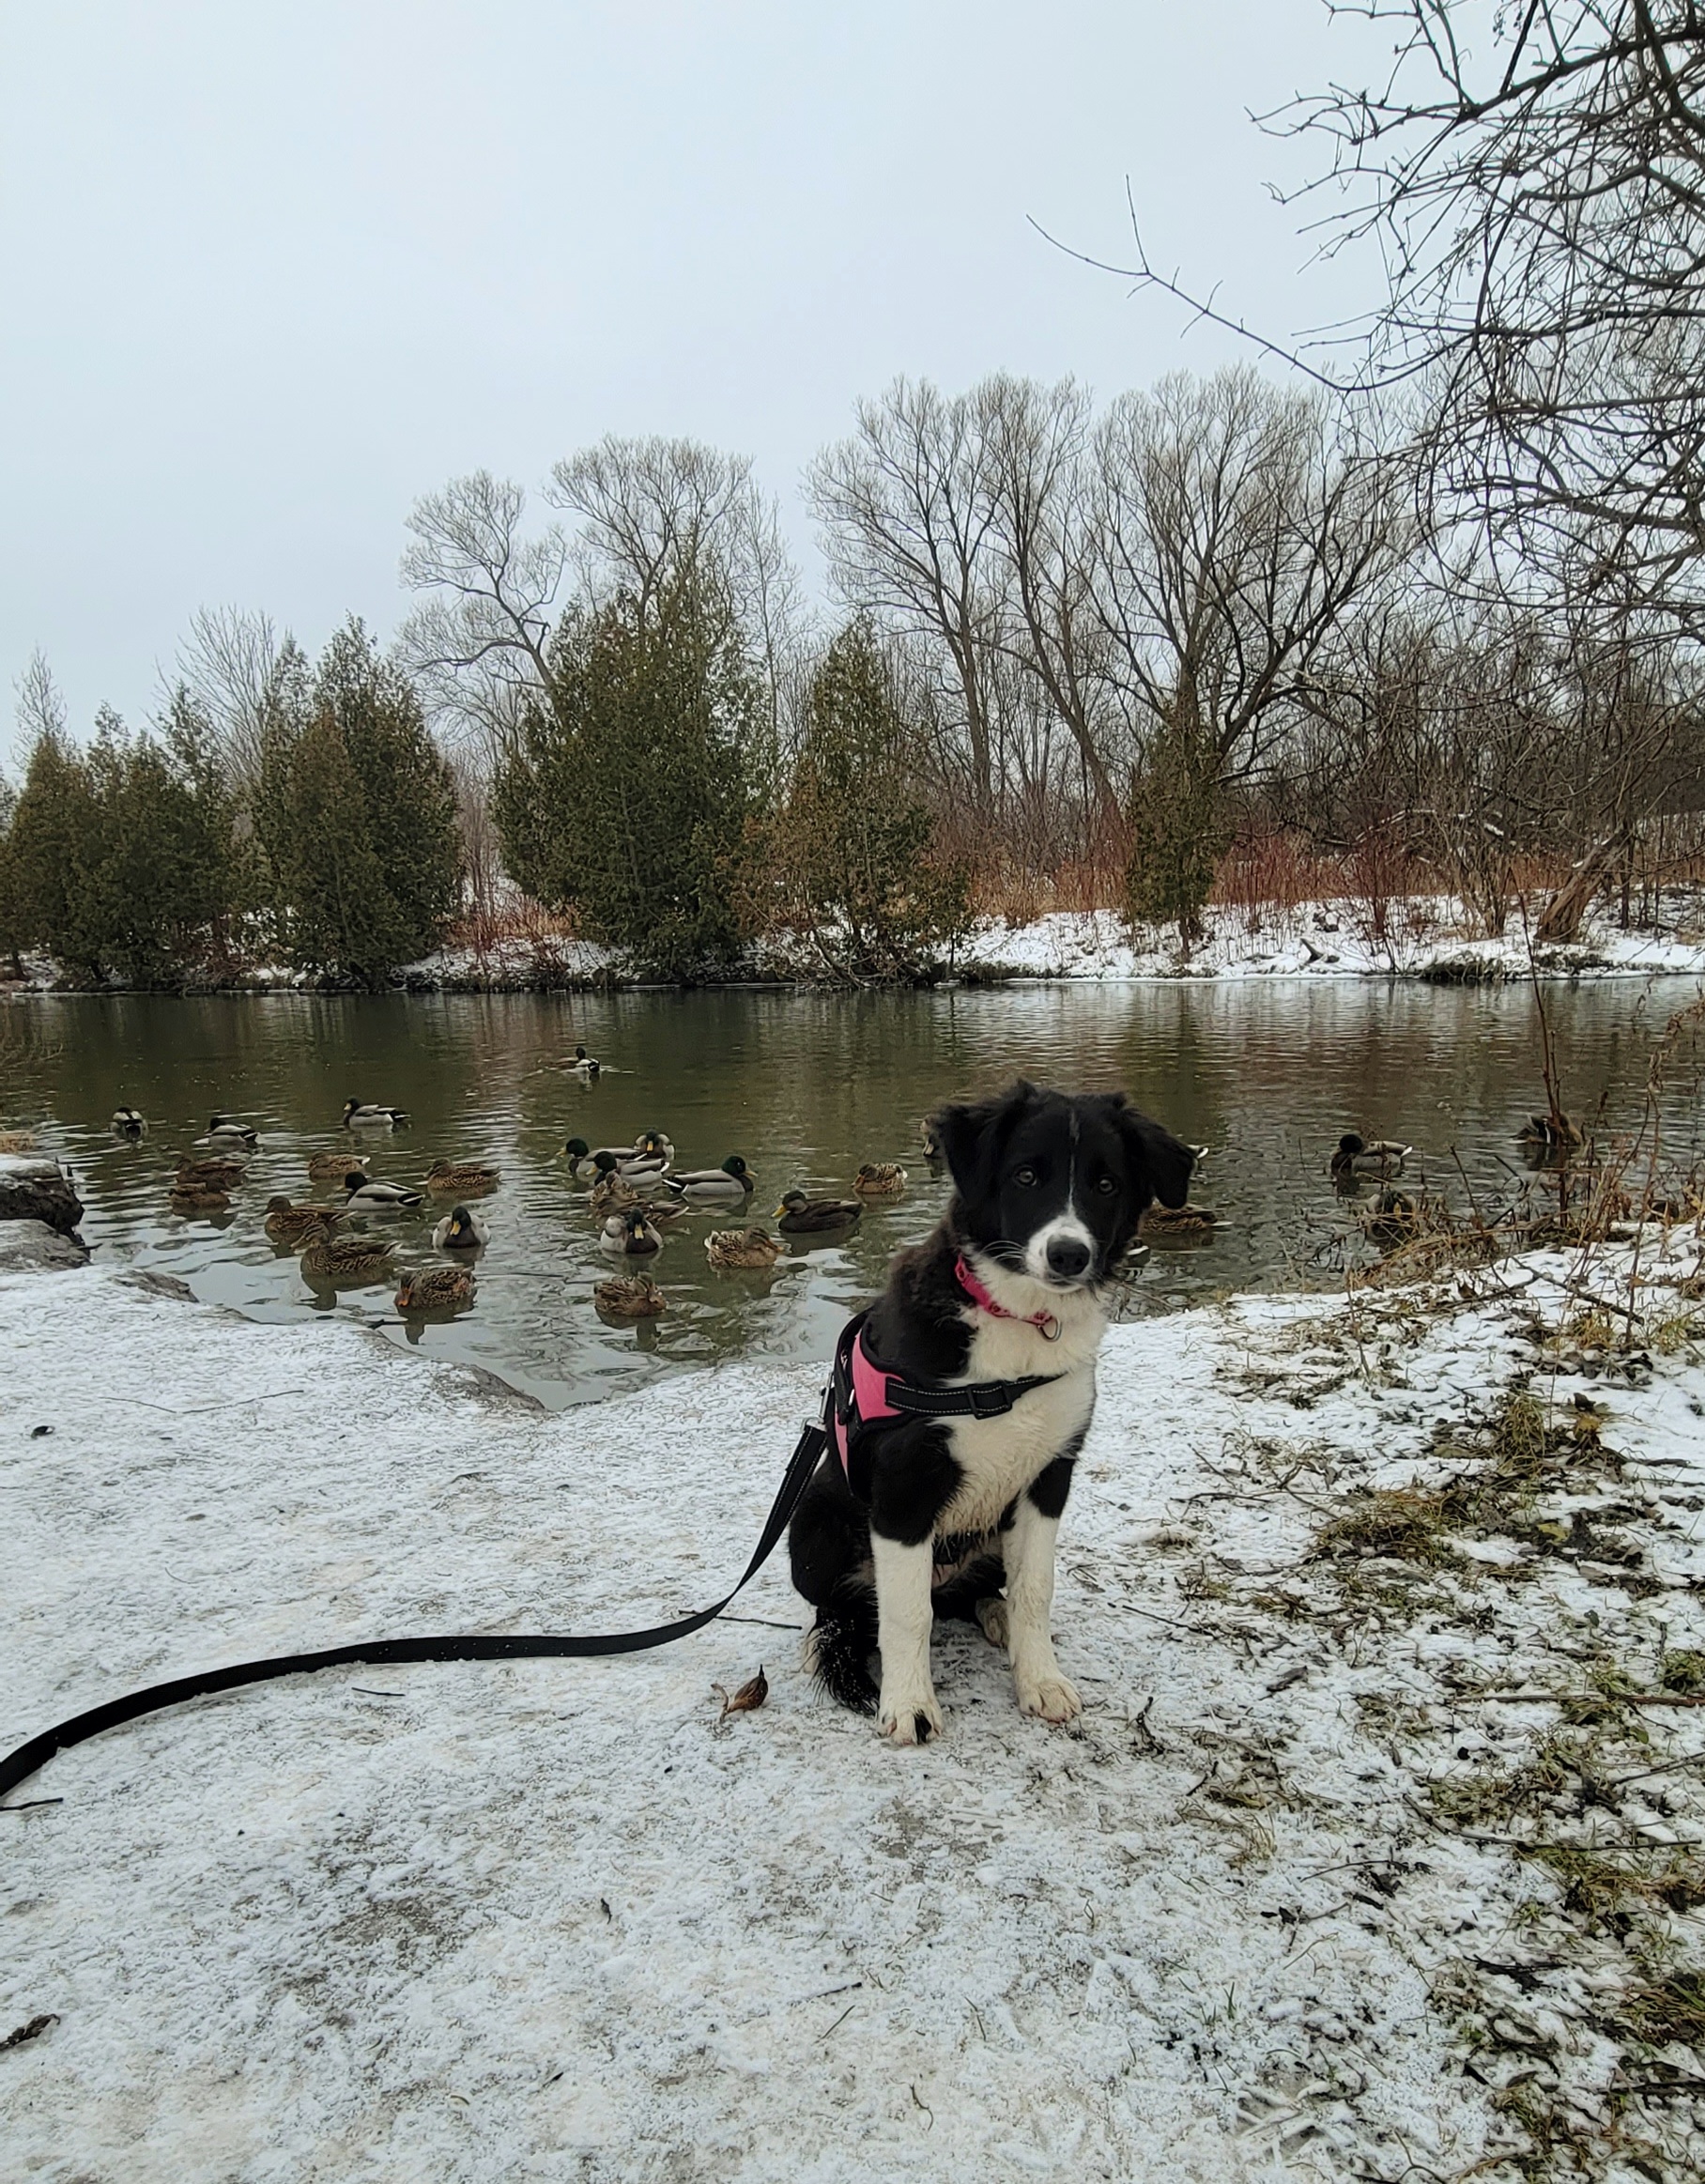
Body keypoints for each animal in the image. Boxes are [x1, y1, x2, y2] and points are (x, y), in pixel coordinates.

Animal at [790, 1083, 1187, 1746]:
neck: (1019, 1325)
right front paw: (909, 1703)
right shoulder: (904, 1489)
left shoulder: (1048, 1479)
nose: (1068, 1255)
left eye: (1107, 1185)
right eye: (1026, 1175)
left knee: (969, 1595)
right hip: (812, 1526)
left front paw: (1040, 1680)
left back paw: (994, 1615)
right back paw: (833, 1645)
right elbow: (907, 1614)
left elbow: (1035, 1590)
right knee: (847, 1608)